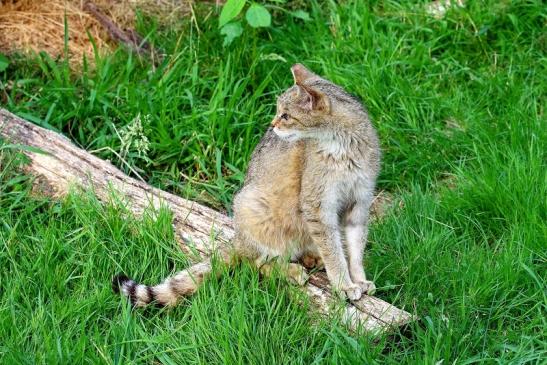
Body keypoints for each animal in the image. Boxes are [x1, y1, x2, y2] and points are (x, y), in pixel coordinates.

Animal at [112, 64, 382, 304]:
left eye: (286, 115)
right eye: (278, 112)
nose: (272, 125)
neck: (345, 147)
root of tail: (239, 239)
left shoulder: (360, 200)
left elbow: (354, 249)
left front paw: (358, 279)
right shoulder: (317, 204)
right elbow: (333, 252)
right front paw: (344, 284)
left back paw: (310, 257)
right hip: (253, 208)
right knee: (258, 263)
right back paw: (291, 270)